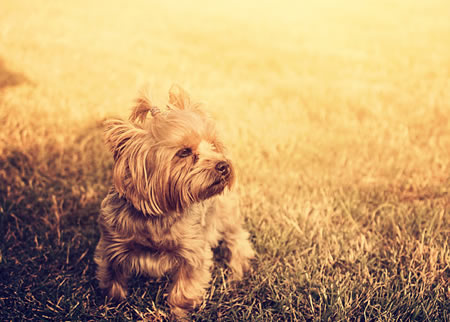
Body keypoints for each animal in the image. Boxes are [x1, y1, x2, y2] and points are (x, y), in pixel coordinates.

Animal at [93, 85, 255, 316]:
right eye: (184, 152)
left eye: (213, 145)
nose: (223, 165)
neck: (161, 213)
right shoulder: (113, 244)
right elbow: (112, 277)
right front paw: (113, 303)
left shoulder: (192, 249)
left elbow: (185, 287)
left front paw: (179, 312)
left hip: (225, 212)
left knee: (237, 237)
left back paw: (237, 270)